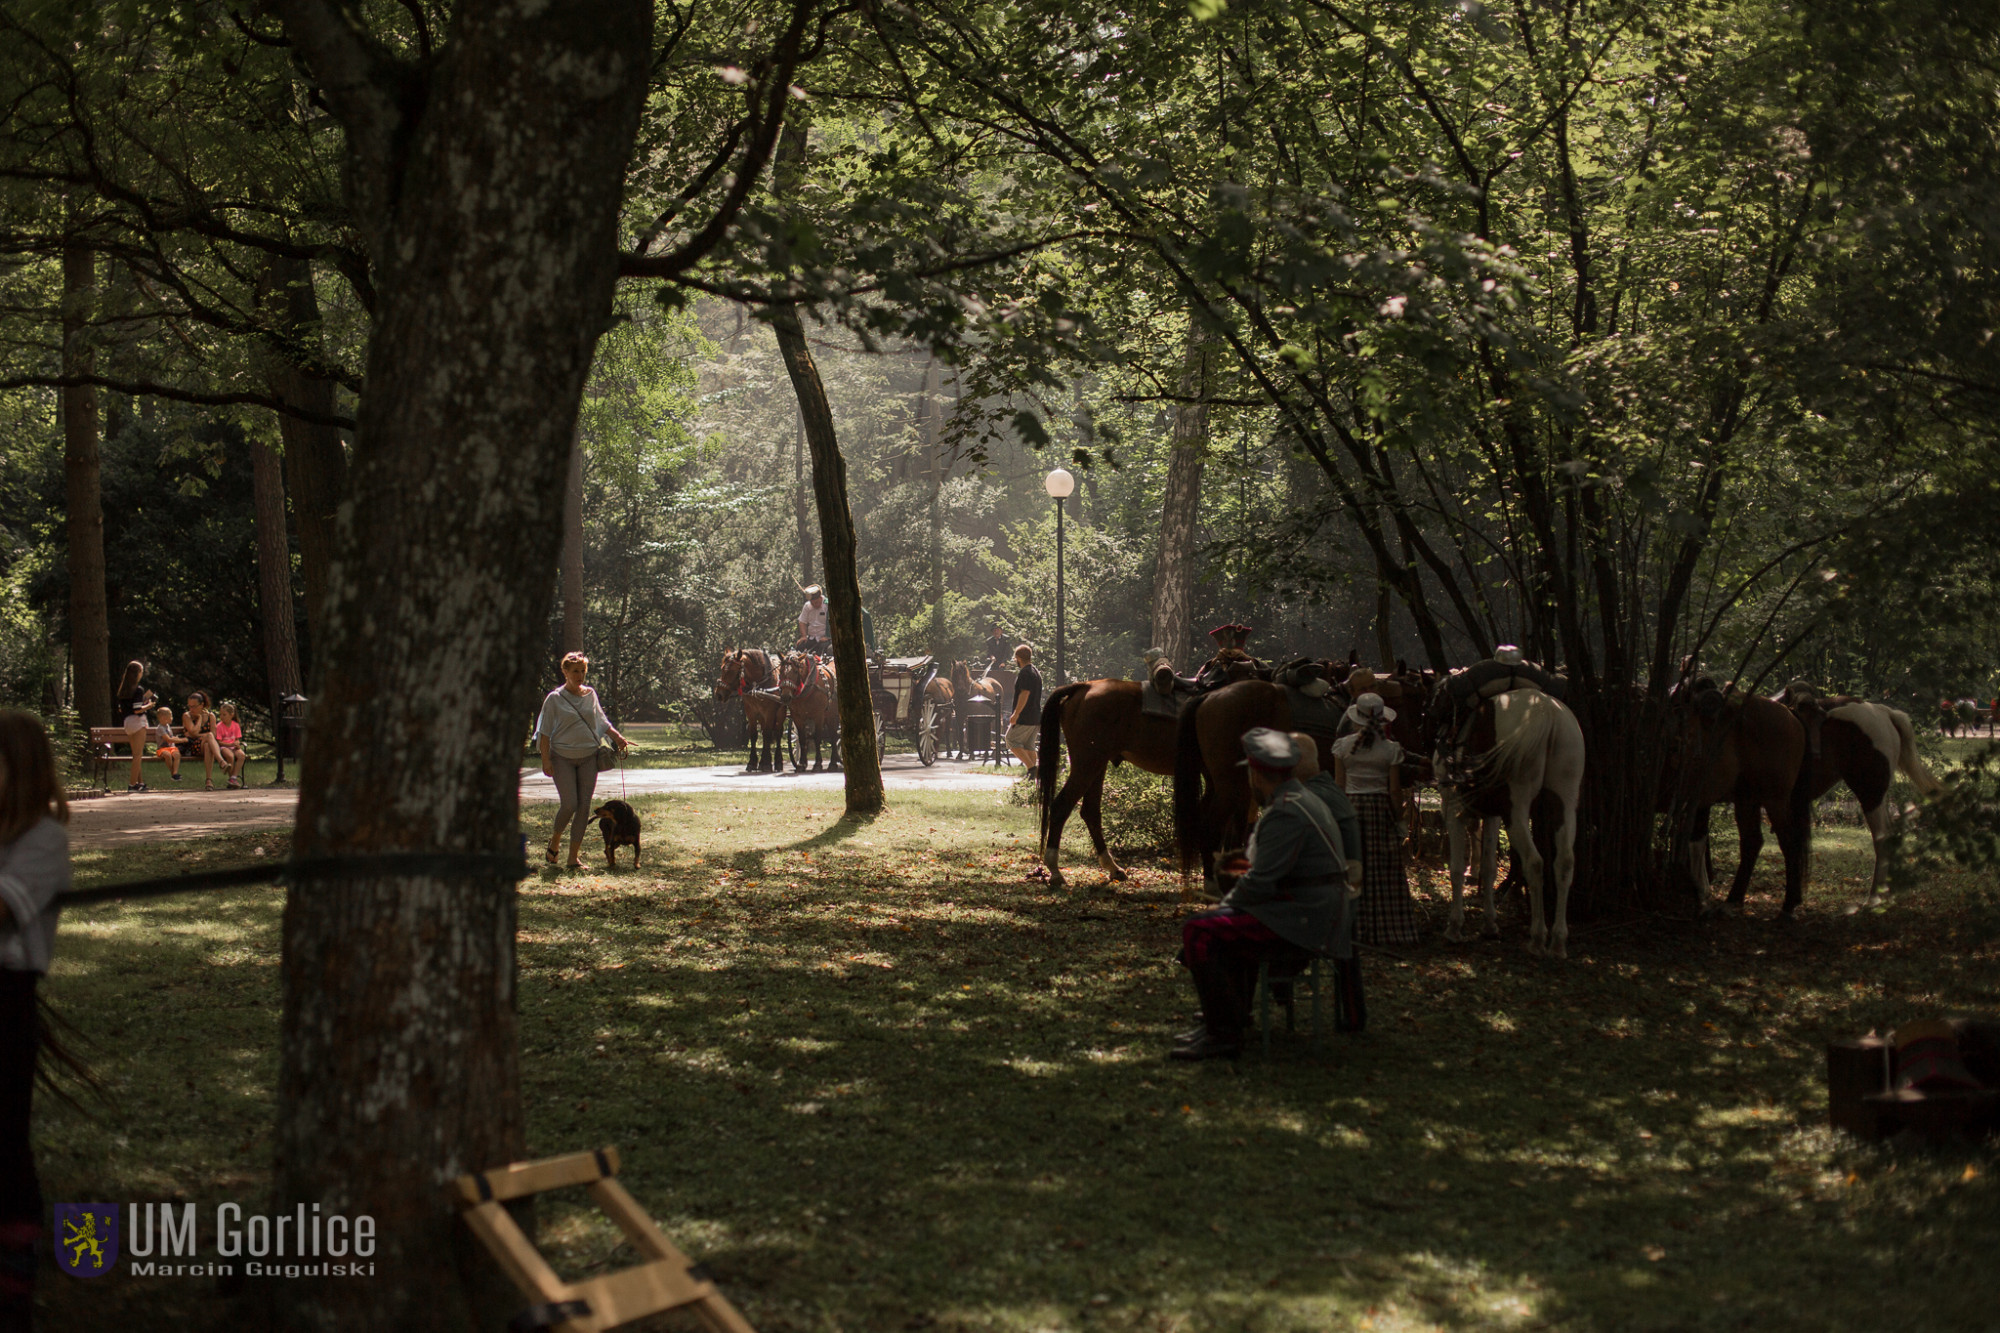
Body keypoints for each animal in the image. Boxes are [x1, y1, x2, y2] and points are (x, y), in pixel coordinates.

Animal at [1440, 684, 1576, 956]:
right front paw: (1490, 925)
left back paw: (1537, 938)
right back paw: (1557, 941)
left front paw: (1455, 927)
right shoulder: (1492, 814)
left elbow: (1457, 870)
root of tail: (1547, 713)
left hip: (1517, 808)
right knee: (1565, 861)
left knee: (1534, 862)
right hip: (1565, 798)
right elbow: (1490, 868)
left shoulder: (1453, 810)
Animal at [1656, 684, 1816, 912]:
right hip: (1746, 800)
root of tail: (1789, 712)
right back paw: (1734, 898)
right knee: (1752, 841)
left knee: (1789, 841)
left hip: (1774, 799)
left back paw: (1788, 904)